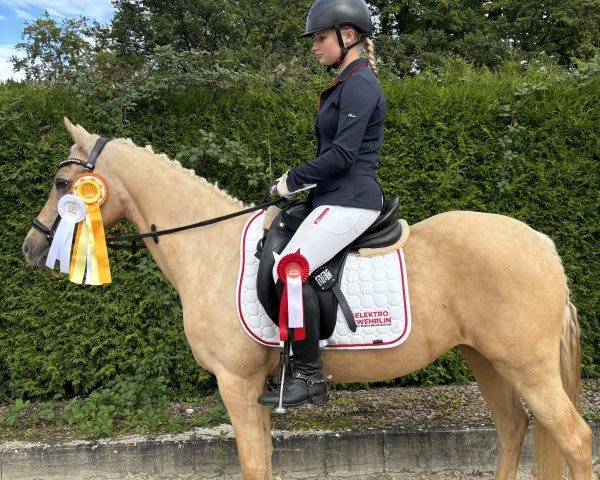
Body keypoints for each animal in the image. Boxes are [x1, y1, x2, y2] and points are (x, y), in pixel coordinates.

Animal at [22, 117, 592, 480]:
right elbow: (264, 461)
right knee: (513, 429)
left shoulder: (236, 383)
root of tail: (541, 242)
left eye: (62, 182)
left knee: (575, 439)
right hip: (485, 359)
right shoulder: (253, 389)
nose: (32, 246)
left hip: (526, 366)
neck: (210, 246)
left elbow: (253, 465)